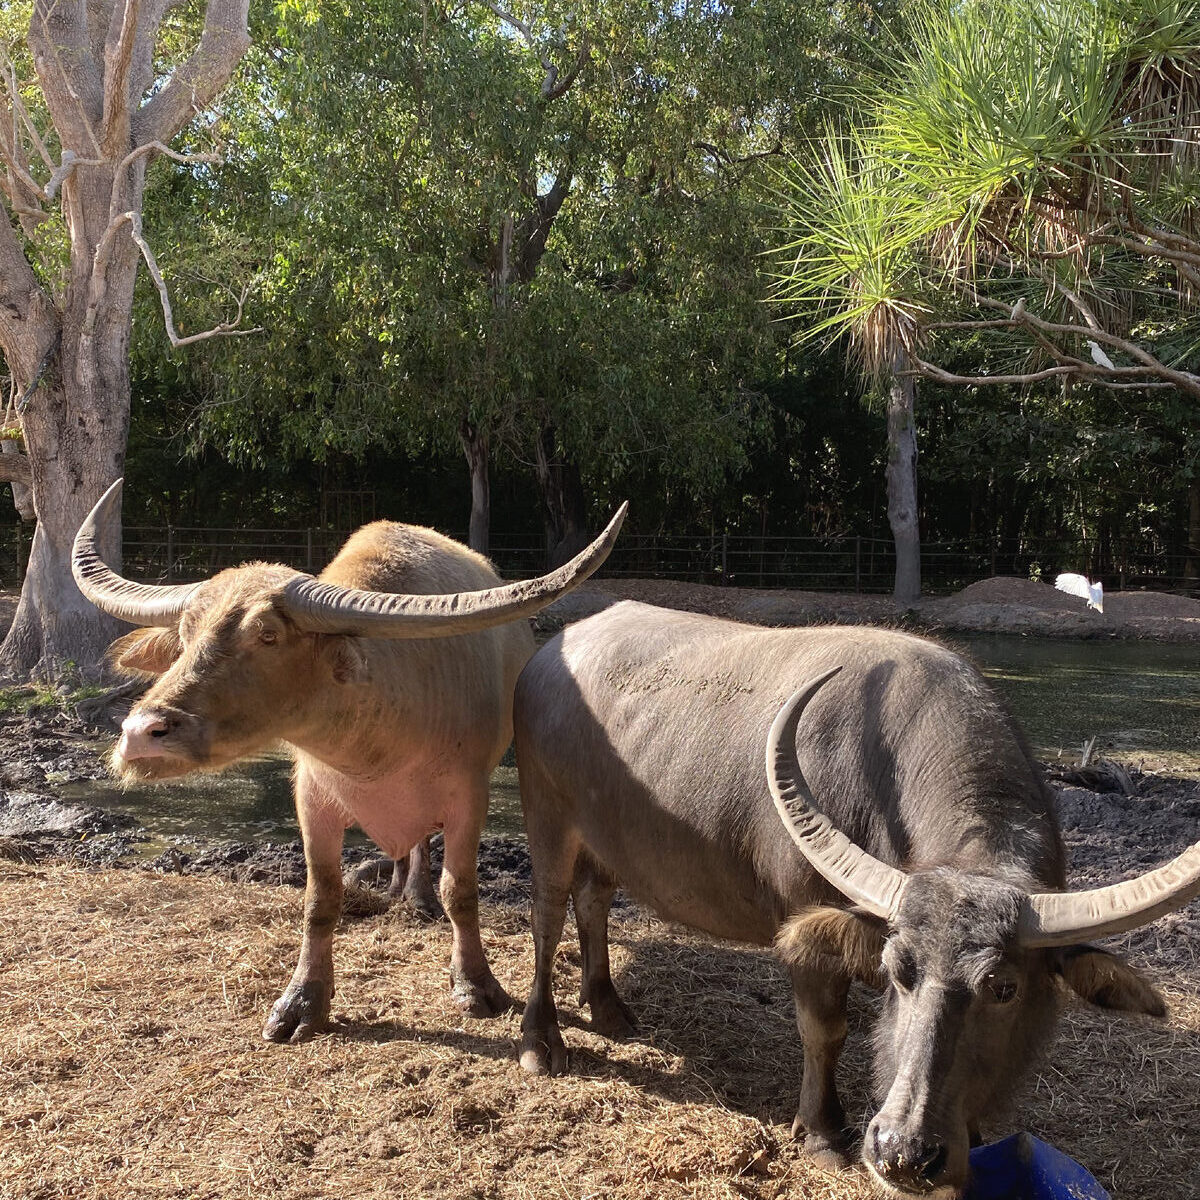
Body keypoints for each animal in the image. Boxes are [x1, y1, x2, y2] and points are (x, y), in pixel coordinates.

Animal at [72, 477, 628, 1041]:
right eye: (186, 634)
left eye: (268, 635)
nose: (141, 735)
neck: (380, 745)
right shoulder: (313, 800)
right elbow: (321, 897)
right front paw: (301, 1002)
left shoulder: (469, 798)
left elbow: (461, 890)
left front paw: (475, 985)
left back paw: (420, 899)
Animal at [516, 604, 1200, 1195]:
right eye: (898, 972)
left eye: (1004, 988)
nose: (904, 1153)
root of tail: (554, 649)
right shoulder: (808, 932)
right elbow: (825, 1029)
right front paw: (821, 1133)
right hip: (547, 817)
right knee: (548, 913)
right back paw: (540, 1041)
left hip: (604, 843)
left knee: (593, 901)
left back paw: (607, 1006)